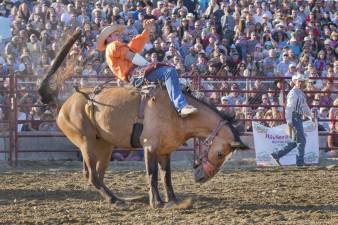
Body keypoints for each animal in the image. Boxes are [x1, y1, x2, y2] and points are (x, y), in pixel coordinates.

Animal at [38, 29, 247, 208]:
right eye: (219, 154)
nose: (202, 178)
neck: (176, 113)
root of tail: (64, 102)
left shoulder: (165, 150)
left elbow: (166, 176)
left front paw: (173, 200)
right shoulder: (149, 146)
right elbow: (152, 174)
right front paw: (157, 202)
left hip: (104, 145)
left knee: (97, 173)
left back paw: (116, 198)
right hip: (85, 141)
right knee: (93, 176)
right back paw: (113, 199)